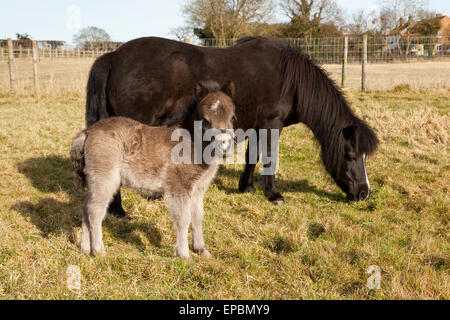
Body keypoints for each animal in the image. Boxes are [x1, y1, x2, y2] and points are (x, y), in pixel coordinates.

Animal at [70, 82, 236, 258]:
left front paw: (201, 249)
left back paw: (85, 249)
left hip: (95, 179)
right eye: (204, 120)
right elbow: (183, 218)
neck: (191, 143)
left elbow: (197, 216)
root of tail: (88, 131)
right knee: (95, 210)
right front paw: (184, 255)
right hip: (105, 178)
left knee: (86, 205)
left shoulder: (198, 188)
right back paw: (99, 251)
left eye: (232, 117)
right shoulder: (178, 187)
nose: (224, 146)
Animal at [84, 36, 376, 218]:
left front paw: (245, 187)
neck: (290, 80)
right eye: (350, 155)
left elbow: (252, 157)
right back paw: (118, 210)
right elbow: (269, 157)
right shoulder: (272, 124)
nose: (364, 194)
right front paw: (274, 195)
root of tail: (113, 55)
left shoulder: (257, 127)